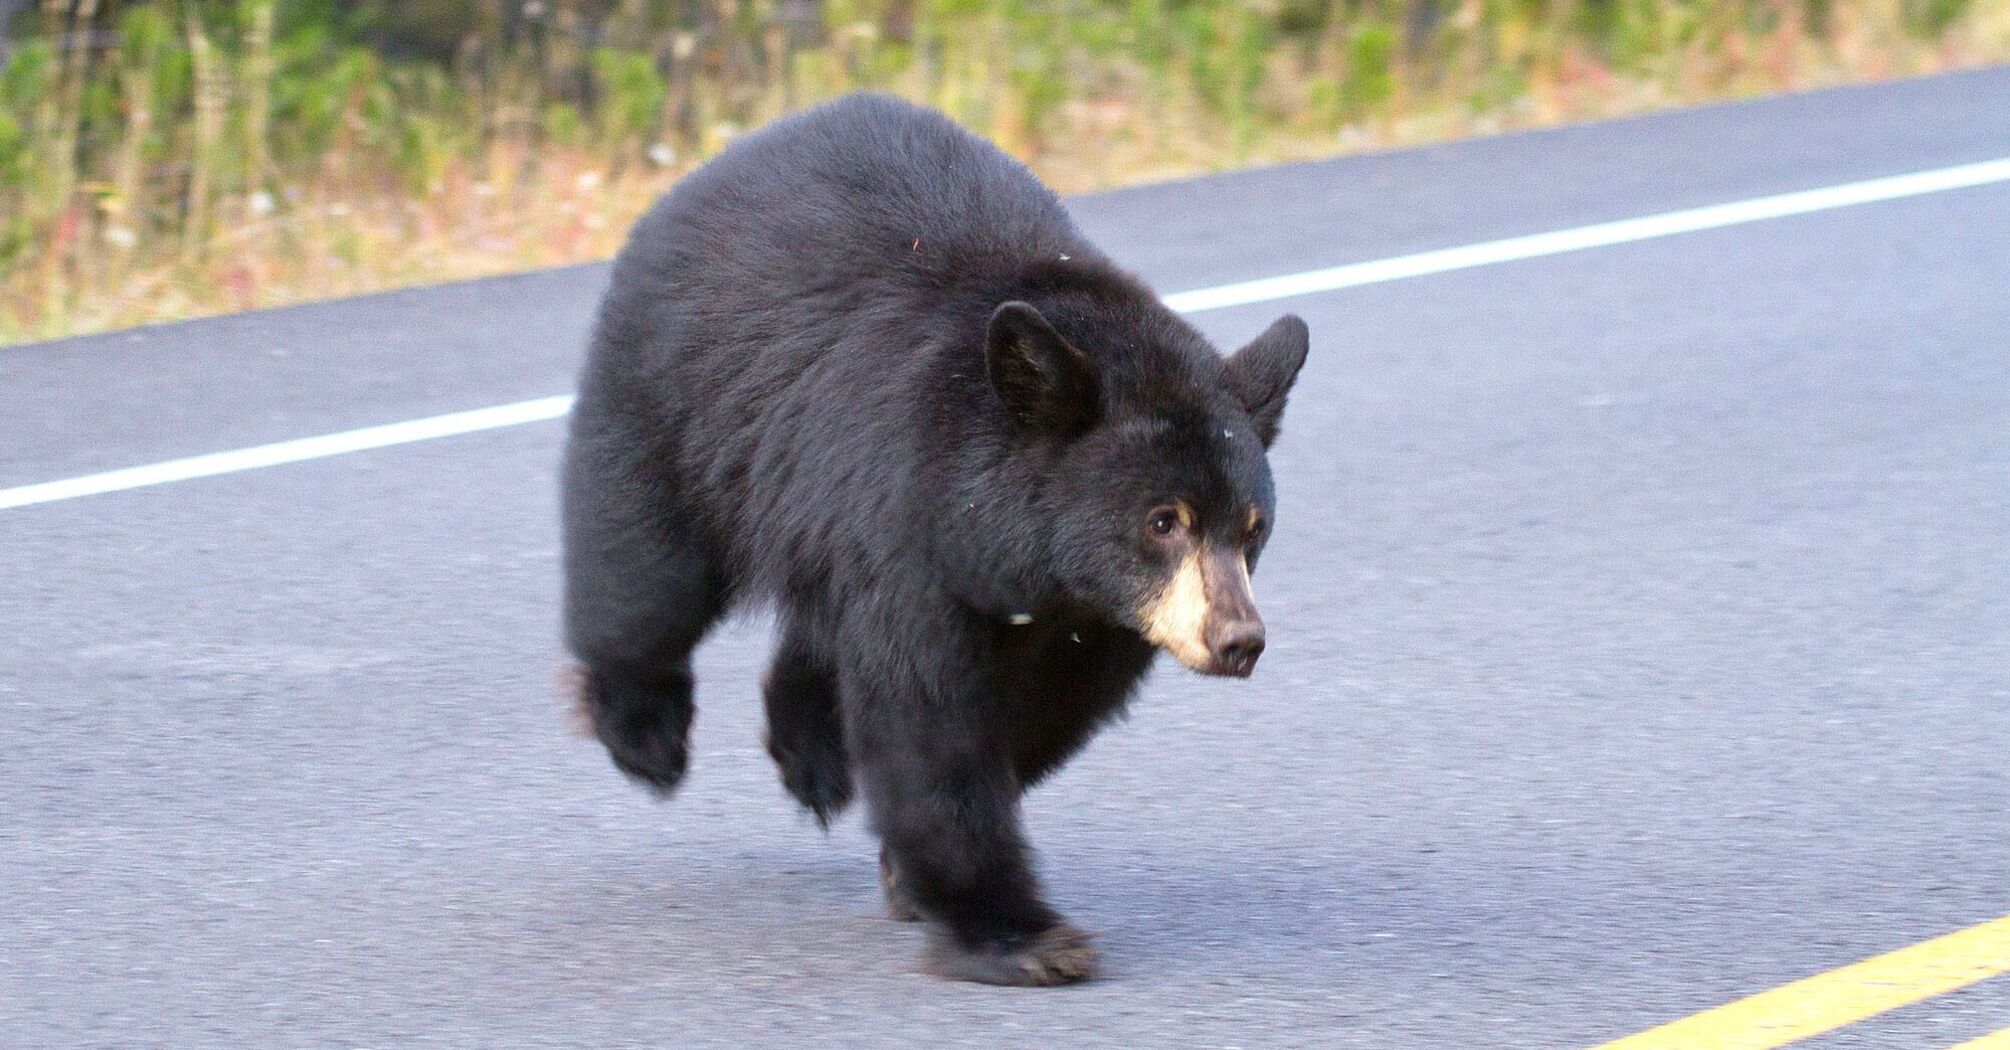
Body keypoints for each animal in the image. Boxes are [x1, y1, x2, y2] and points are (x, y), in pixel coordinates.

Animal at [566, 92, 1310, 981]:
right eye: (1164, 521)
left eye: (1253, 528)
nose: (1238, 639)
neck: (1020, 555)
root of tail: (716, 163)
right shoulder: (907, 529)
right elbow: (926, 718)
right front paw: (1020, 934)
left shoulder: (1094, 620)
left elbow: (1040, 712)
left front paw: (910, 873)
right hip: (681, 401)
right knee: (645, 575)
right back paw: (645, 733)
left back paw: (811, 752)